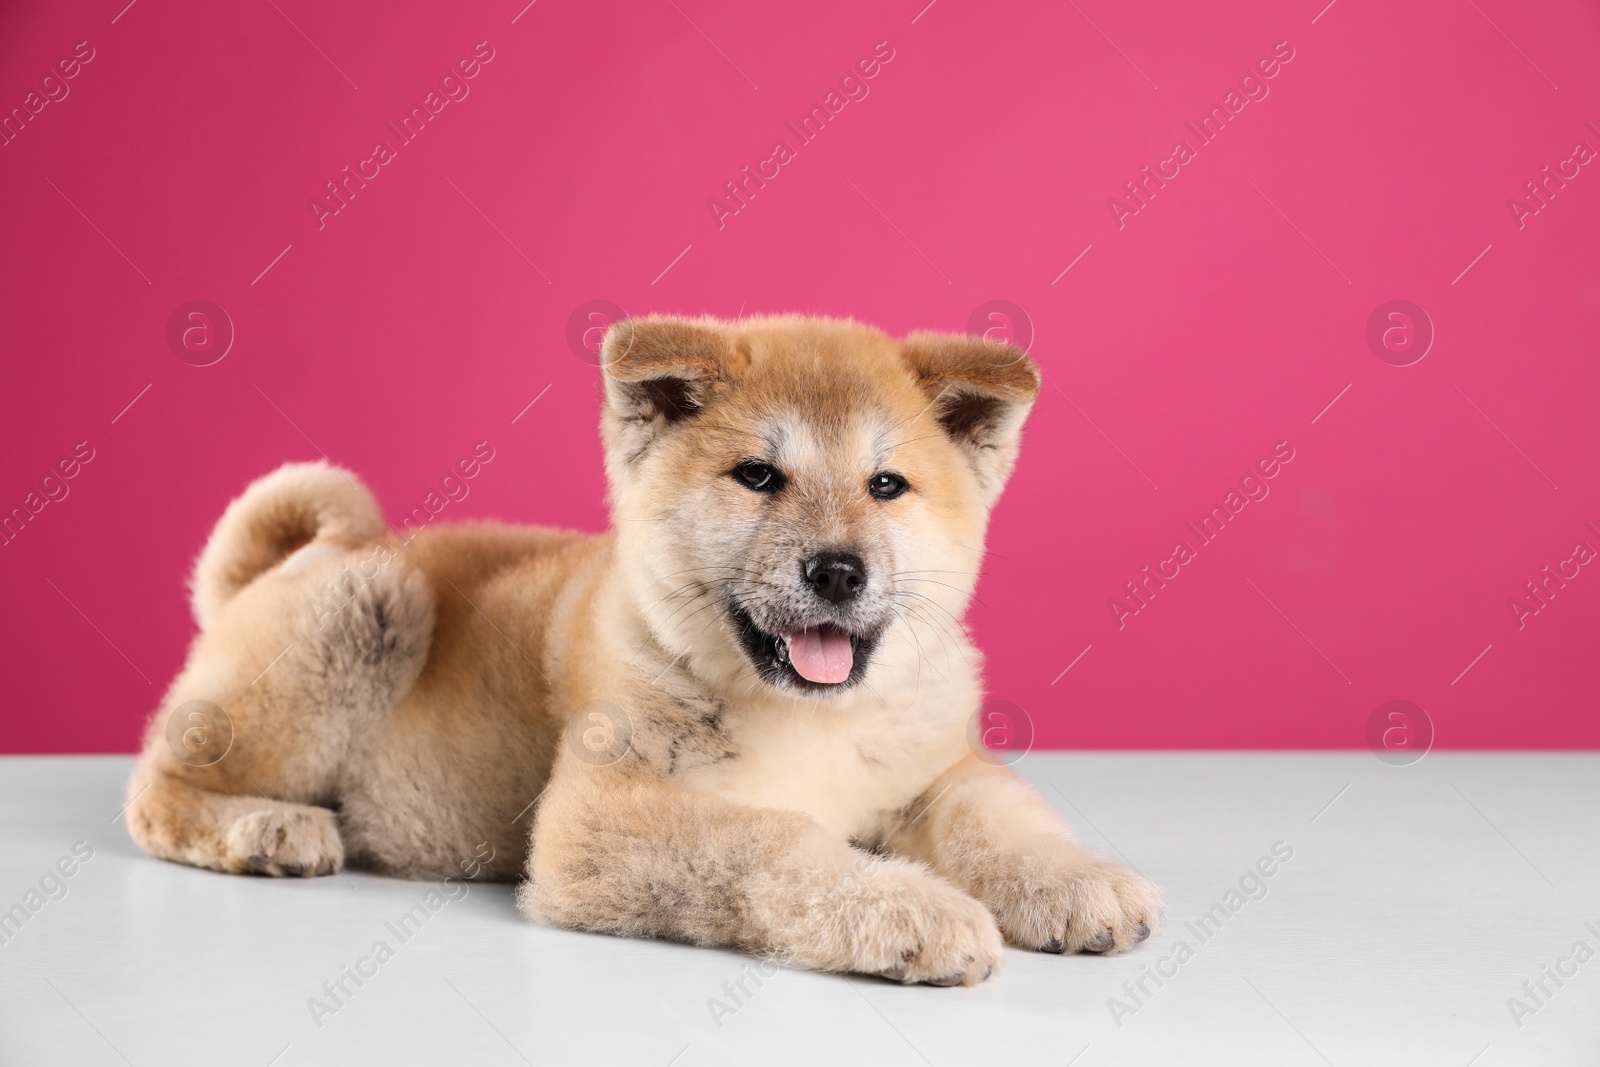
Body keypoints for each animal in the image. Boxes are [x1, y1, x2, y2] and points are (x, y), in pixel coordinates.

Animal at [121, 310, 1152, 985]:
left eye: (887, 484)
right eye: (758, 476)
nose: (838, 570)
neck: (806, 717)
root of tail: (282, 568)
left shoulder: (938, 764)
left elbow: (999, 814)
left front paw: (1078, 883)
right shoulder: (600, 818)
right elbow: (774, 839)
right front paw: (914, 908)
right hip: (370, 603)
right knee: (157, 791)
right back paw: (269, 828)